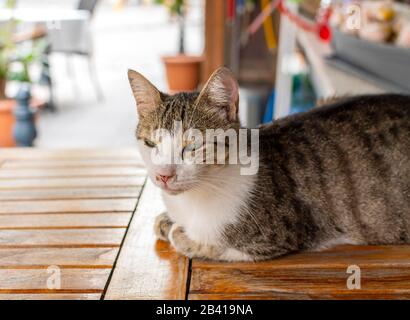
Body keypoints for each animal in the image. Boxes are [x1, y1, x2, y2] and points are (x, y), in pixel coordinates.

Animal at [128, 66, 410, 262]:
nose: (163, 176)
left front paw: (182, 234)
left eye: (193, 146)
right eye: (151, 144)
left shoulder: (277, 237)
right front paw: (166, 220)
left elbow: (215, 245)